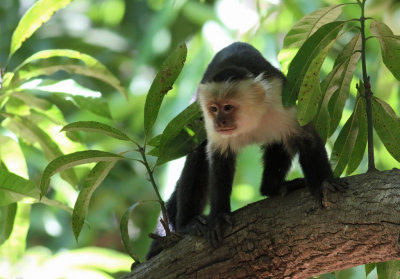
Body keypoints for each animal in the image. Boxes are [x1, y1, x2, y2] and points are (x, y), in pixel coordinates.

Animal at [145, 41, 346, 260]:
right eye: (214, 109)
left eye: (228, 107)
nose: (219, 122)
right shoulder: (208, 121)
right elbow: (218, 159)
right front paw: (218, 216)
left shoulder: (280, 98)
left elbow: (306, 138)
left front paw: (323, 183)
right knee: (199, 154)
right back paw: (188, 222)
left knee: (281, 141)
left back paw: (272, 187)